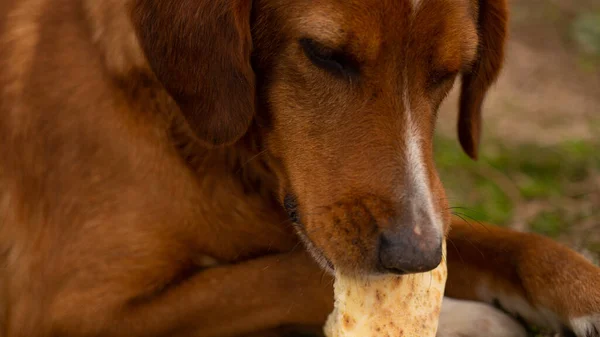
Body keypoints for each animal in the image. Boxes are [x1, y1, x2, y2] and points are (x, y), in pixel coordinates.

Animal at [1, 0, 600, 334]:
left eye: (450, 71)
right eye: (324, 54)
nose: (415, 256)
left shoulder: (423, 219)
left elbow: (499, 243)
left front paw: (582, 288)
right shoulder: (72, 311)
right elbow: (286, 275)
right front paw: (462, 318)